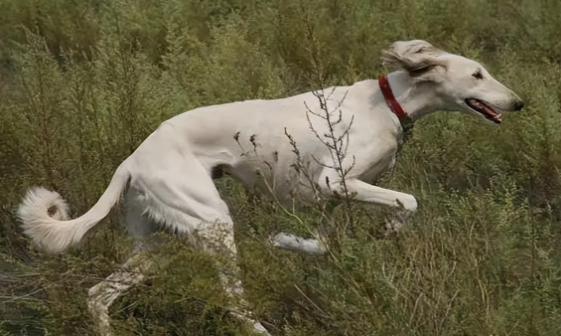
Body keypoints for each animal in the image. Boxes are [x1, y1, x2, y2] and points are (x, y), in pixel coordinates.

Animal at [18, 40, 524, 334]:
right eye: (477, 74)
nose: (519, 103)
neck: (388, 102)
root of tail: (132, 159)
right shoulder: (336, 180)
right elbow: (408, 202)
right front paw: (390, 230)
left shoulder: (330, 198)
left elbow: (321, 244)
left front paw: (284, 241)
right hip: (214, 224)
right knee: (236, 307)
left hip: (160, 242)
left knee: (98, 294)